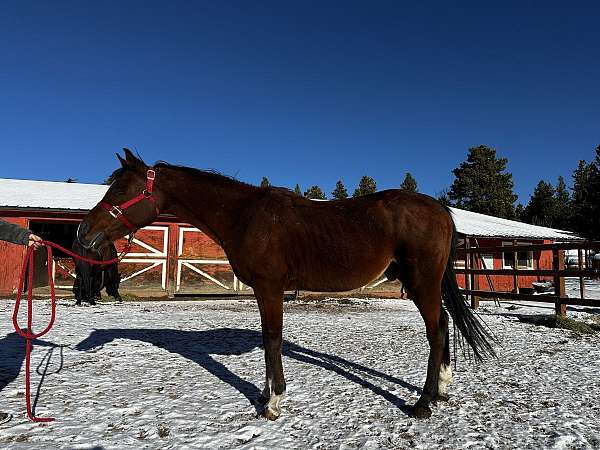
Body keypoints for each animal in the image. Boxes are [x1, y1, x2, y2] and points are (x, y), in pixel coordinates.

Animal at [76, 149, 496, 420]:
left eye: (121, 191)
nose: (83, 232)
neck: (246, 215)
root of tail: (439, 207)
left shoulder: (269, 287)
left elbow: (272, 339)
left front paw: (273, 403)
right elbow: (269, 339)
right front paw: (265, 393)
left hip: (422, 282)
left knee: (436, 331)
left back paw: (423, 404)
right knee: (443, 325)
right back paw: (442, 391)